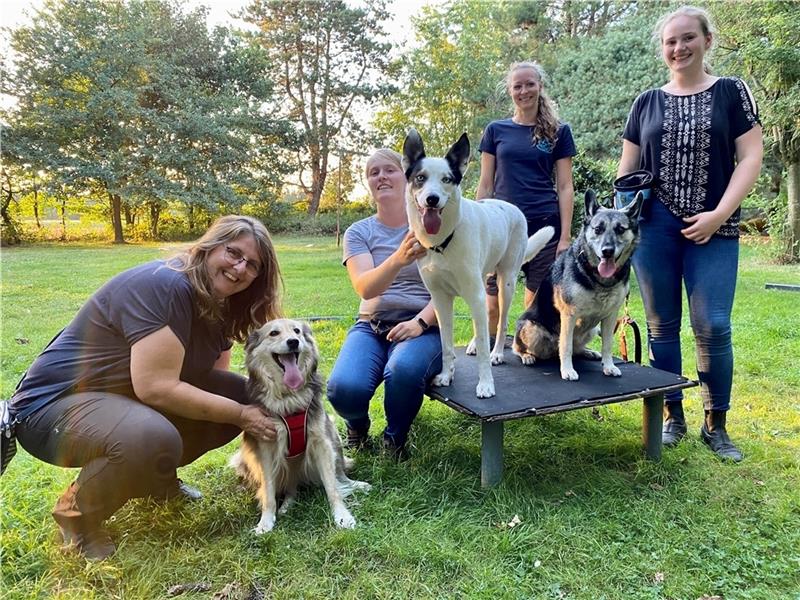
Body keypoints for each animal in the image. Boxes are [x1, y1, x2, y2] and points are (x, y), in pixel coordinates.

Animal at [230, 318, 370, 536]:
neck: (289, 398)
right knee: (290, 487)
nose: (293, 342)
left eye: (297, 331)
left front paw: (342, 516)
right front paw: (266, 521)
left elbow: (332, 487)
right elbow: (268, 491)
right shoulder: (266, 446)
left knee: (340, 476)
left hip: (334, 437)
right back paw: (287, 505)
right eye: (274, 333)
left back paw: (358, 485)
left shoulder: (321, 441)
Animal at [404, 129, 552, 396]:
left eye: (447, 179)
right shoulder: (440, 299)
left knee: (501, 322)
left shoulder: (475, 294)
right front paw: (446, 375)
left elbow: (485, 343)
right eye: (420, 178)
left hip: (506, 283)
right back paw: (473, 344)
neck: (442, 242)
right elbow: (447, 344)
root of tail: (511, 206)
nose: (432, 199)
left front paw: (485, 384)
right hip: (483, 282)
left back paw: (497, 354)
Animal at [512, 190, 644, 380]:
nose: (607, 251)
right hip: (532, 329)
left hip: (593, 329)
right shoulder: (569, 315)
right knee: (518, 347)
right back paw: (527, 356)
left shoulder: (610, 316)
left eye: (620, 229)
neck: (598, 278)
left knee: (576, 349)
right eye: (598, 229)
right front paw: (567, 370)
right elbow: (566, 346)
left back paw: (588, 352)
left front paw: (609, 366)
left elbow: (607, 345)